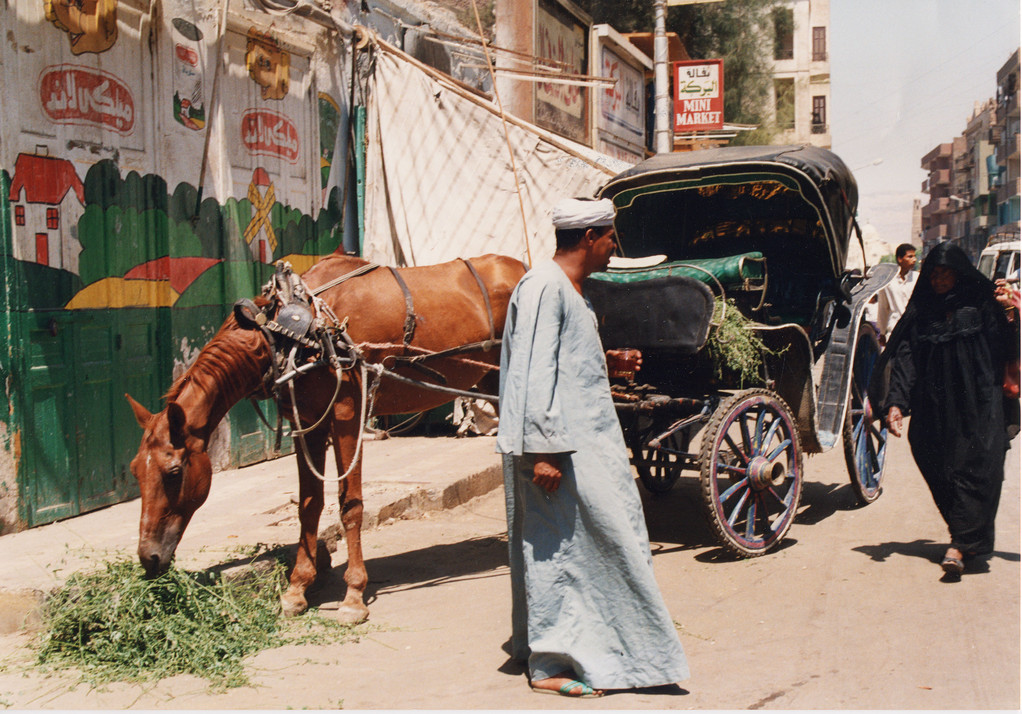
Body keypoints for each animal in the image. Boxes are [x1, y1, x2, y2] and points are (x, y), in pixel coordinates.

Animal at [125, 254, 527, 621]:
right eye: (135, 472)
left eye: (174, 472)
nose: (149, 558)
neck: (288, 331)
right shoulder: (308, 423)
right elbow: (308, 504)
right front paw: (297, 588)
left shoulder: (346, 414)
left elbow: (350, 504)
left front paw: (353, 595)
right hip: (492, 381)